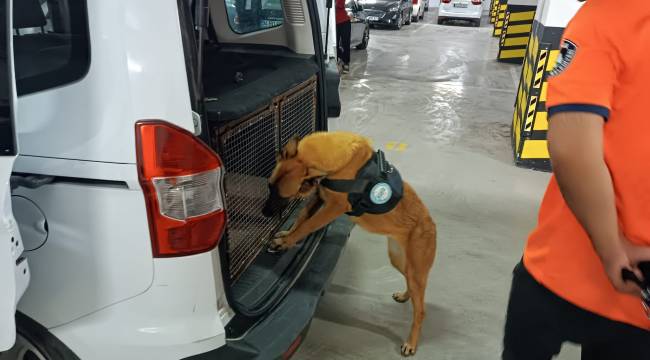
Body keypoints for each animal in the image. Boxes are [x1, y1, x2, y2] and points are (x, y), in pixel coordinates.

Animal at [262, 131, 436, 356]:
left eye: (283, 195)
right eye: (269, 186)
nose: (264, 213)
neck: (337, 161)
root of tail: (431, 224)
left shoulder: (332, 208)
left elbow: (307, 226)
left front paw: (286, 242)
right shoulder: (318, 197)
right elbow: (301, 218)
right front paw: (286, 236)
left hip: (416, 272)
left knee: (420, 310)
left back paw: (411, 343)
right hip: (400, 261)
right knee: (411, 286)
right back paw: (405, 296)